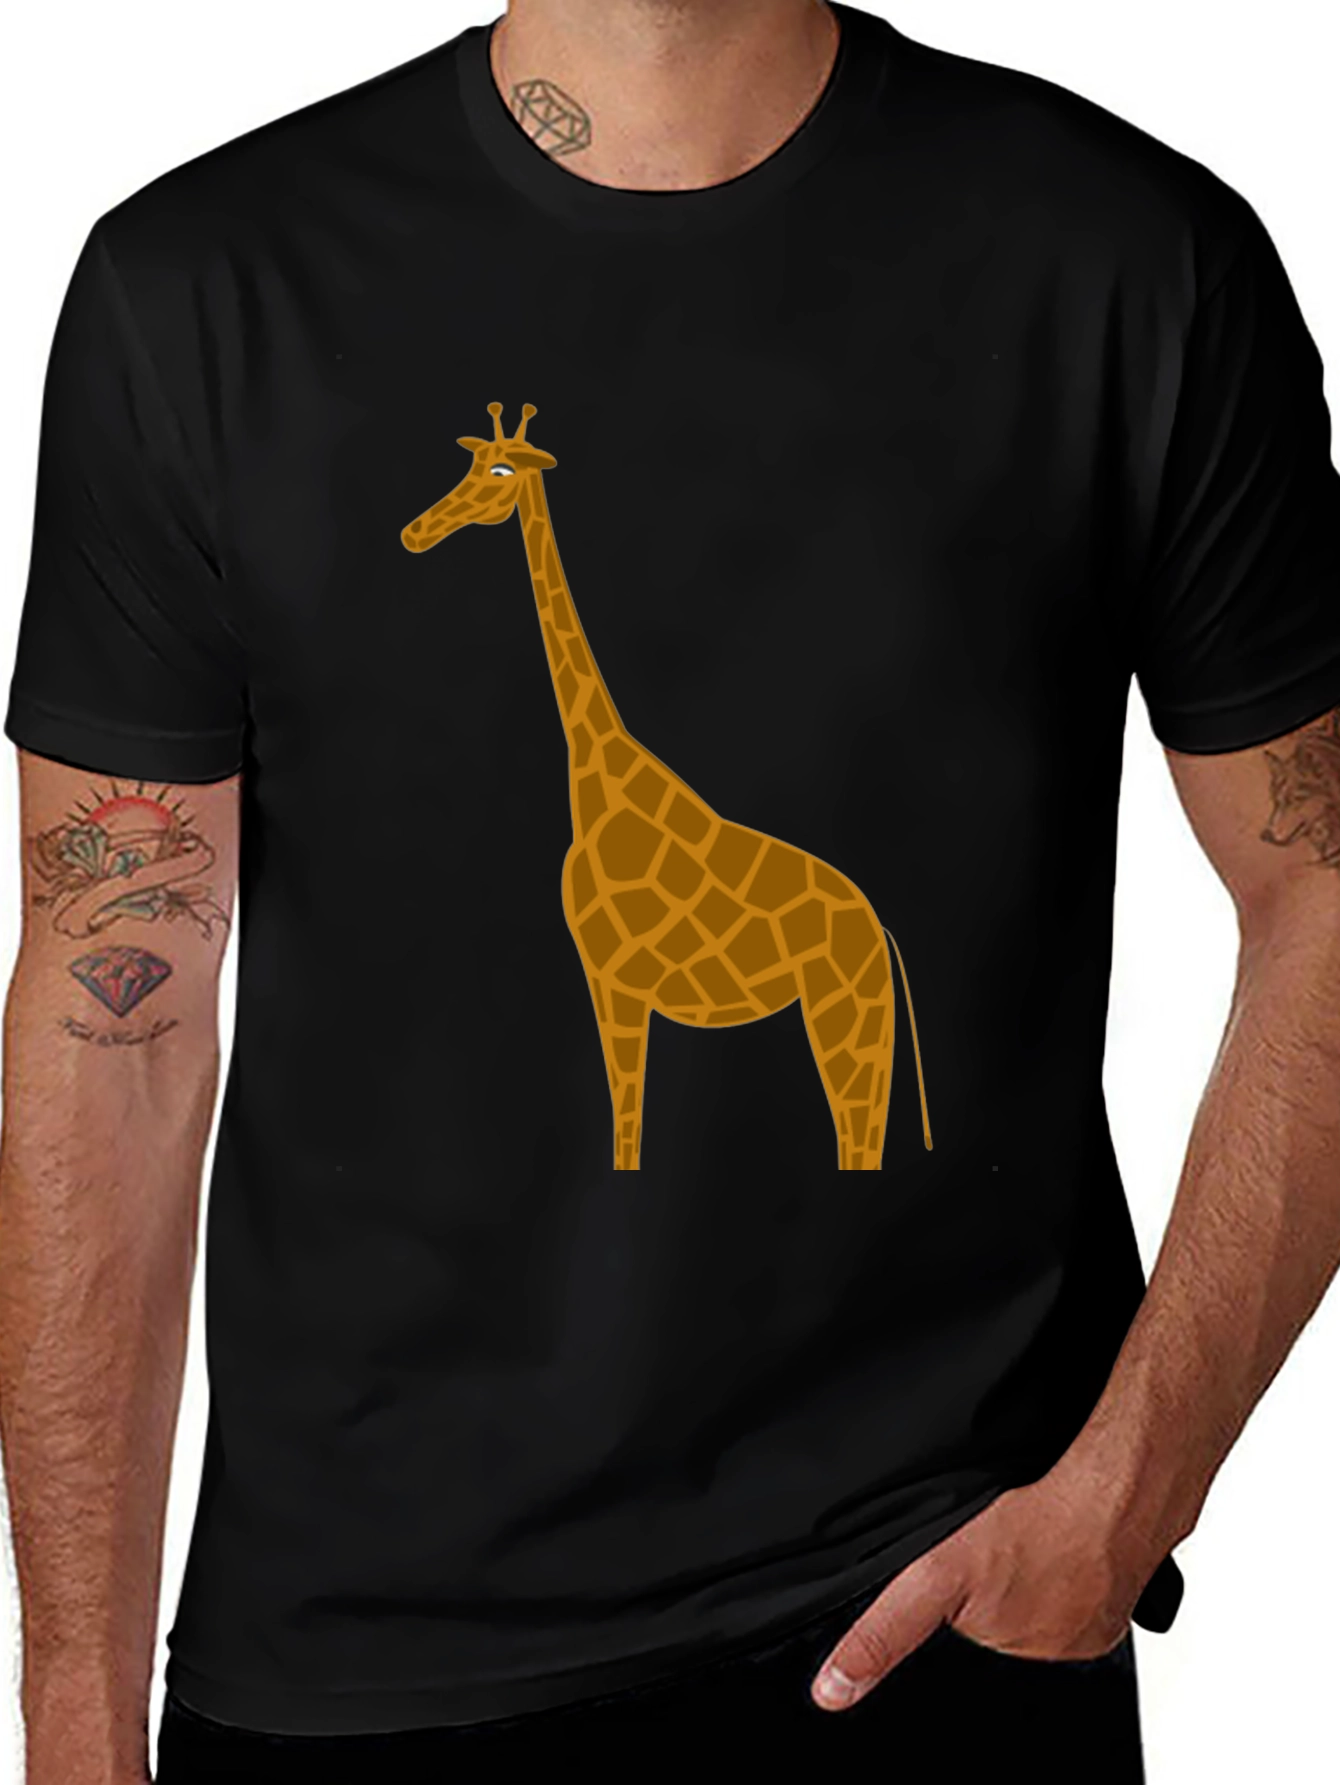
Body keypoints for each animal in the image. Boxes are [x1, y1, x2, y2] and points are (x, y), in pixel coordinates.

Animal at [402, 404, 932, 1172]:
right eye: (469, 463)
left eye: (499, 470)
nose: (414, 532)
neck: (594, 778)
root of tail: (881, 929)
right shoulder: (607, 980)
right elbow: (628, 1128)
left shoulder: (617, 980)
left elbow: (627, 1123)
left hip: (846, 1013)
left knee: (857, 1134)